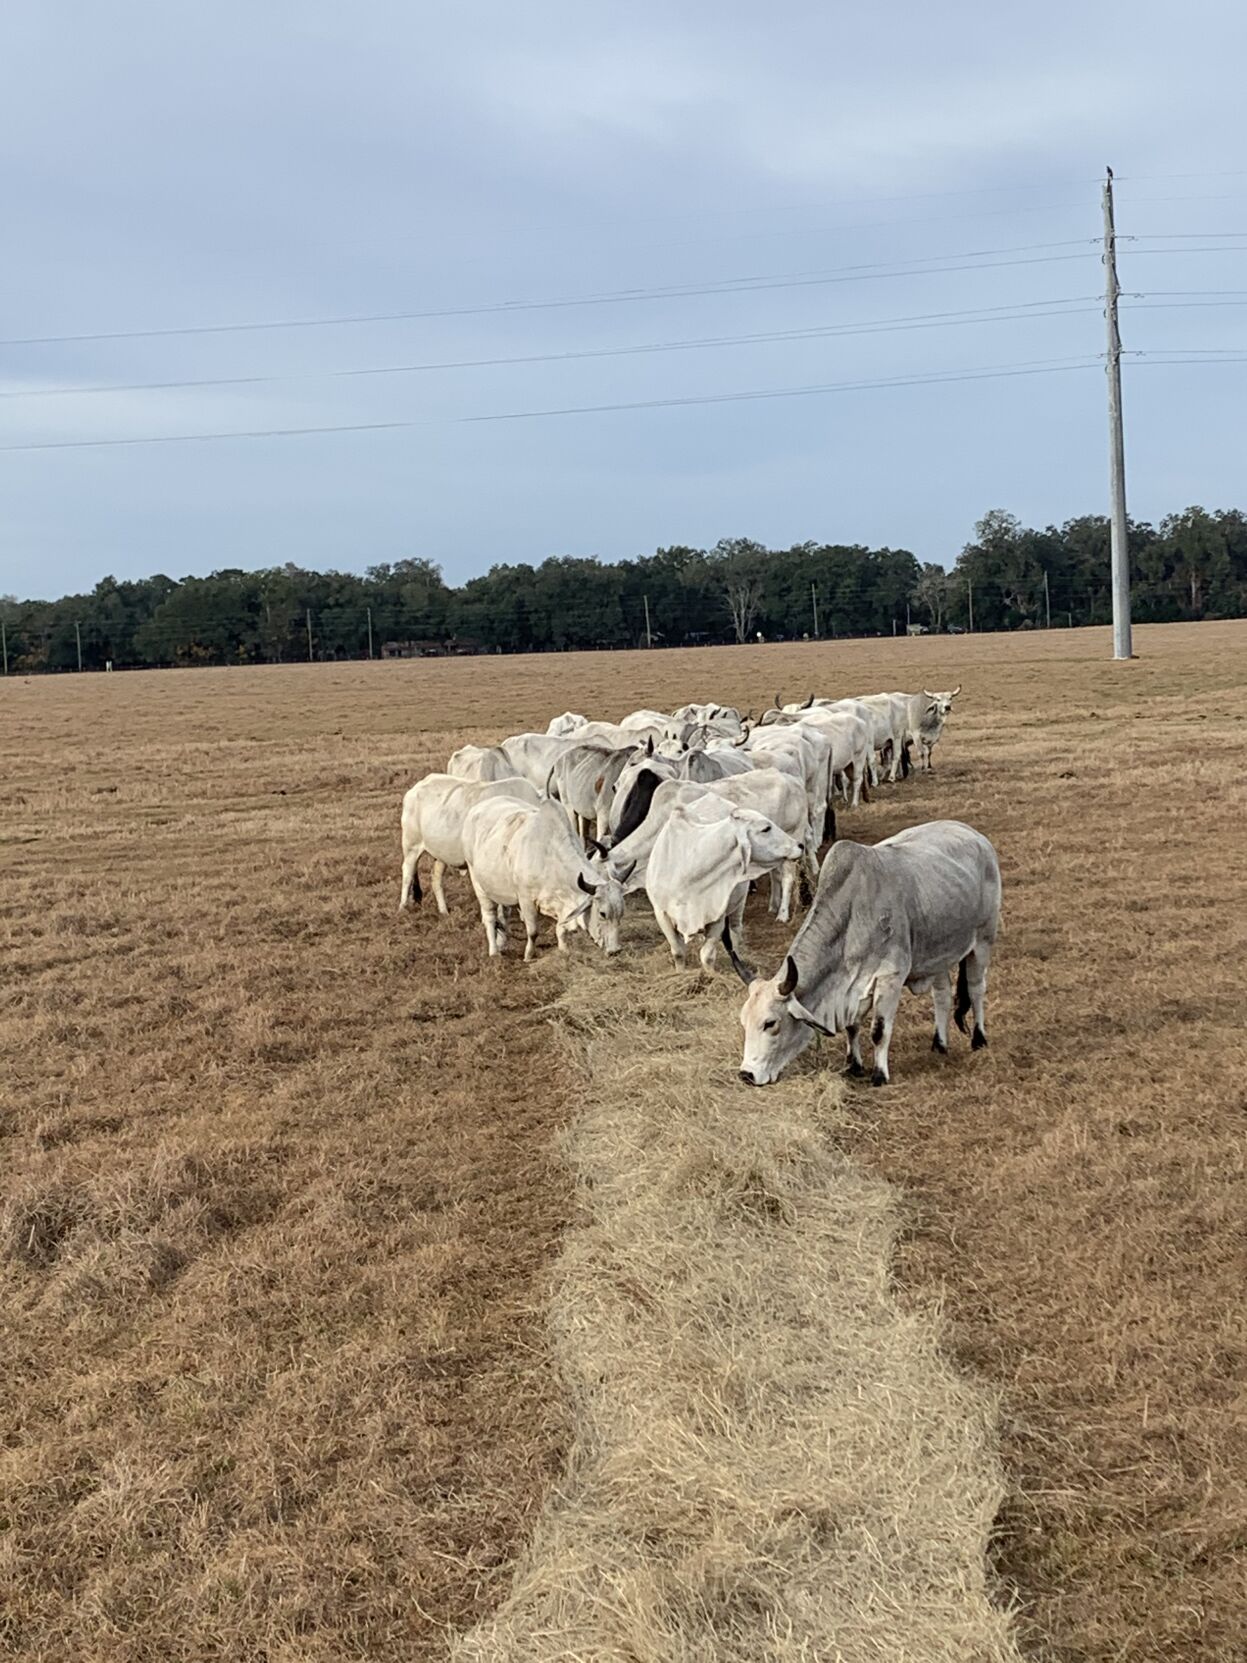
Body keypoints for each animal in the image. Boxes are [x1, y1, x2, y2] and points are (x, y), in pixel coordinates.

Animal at [399, 773, 538, 912]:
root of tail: (416, 787)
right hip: (411, 845)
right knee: (407, 873)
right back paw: (402, 907)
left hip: (440, 855)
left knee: (436, 879)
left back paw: (444, 911)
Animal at [461, 796, 634, 960]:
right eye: (602, 913)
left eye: (621, 913)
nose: (615, 951)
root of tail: (478, 808)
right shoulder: (526, 900)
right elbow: (533, 932)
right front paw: (528, 956)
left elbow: (561, 930)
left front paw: (564, 950)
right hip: (478, 883)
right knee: (490, 917)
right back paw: (494, 951)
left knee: (503, 914)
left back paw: (502, 942)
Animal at [646, 799, 802, 971]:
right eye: (766, 828)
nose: (799, 845)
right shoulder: (662, 913)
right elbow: (678, 953)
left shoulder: (718, 915)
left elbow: (707, 956)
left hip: (739, 904)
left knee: (735, 931)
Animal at [727, 819, 1000, 1087]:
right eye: (743, 1021)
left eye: (770, 1023)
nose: (746, 1074)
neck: (851, 914)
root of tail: (975, 836)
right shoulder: (852, 989)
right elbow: (852, 1027)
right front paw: (854, 1065)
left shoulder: (890, 977)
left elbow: (879, 1031)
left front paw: (879, 1074)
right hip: (939, 954)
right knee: (942, 995)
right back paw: (939, 1044)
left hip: (983, 941)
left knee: (976, 988)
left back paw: (979, 1039)